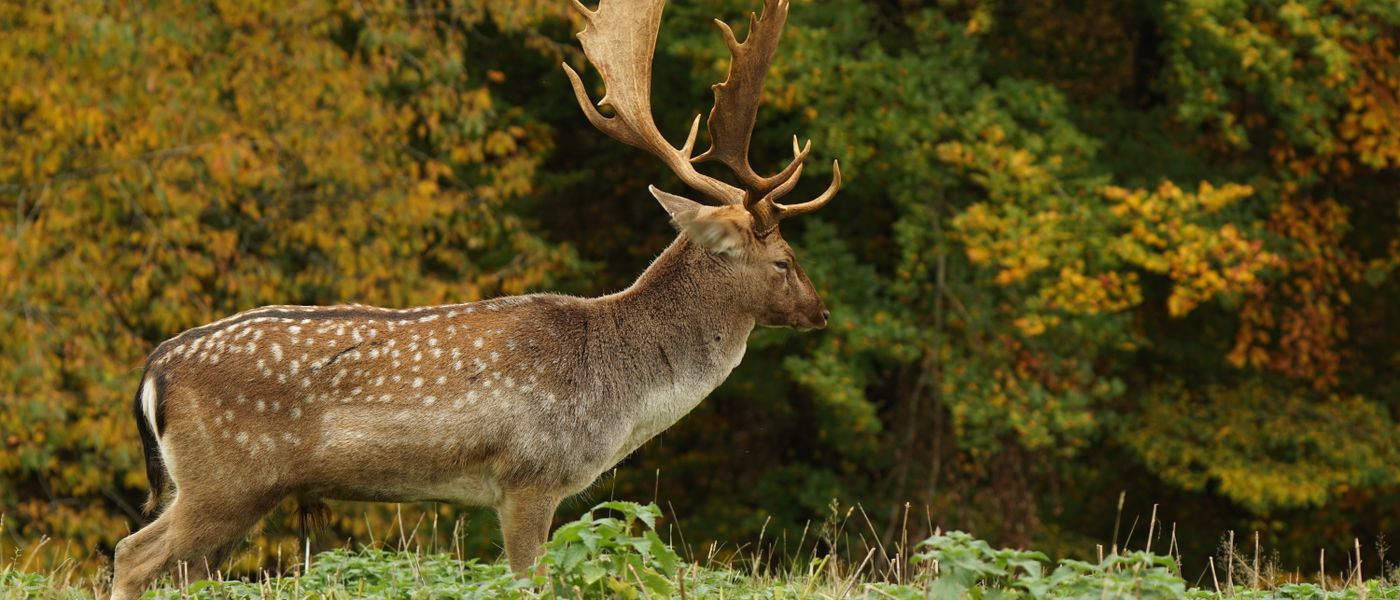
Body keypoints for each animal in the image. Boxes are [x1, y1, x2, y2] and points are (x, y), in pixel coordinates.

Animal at [109, 0, 839, 597]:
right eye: (783, 260)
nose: (820, 311)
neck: (619, 394)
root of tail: (154, 370)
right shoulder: (530, 476)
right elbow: (531, 581)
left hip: (224, 493)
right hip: (226, 479)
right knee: (130, 554)